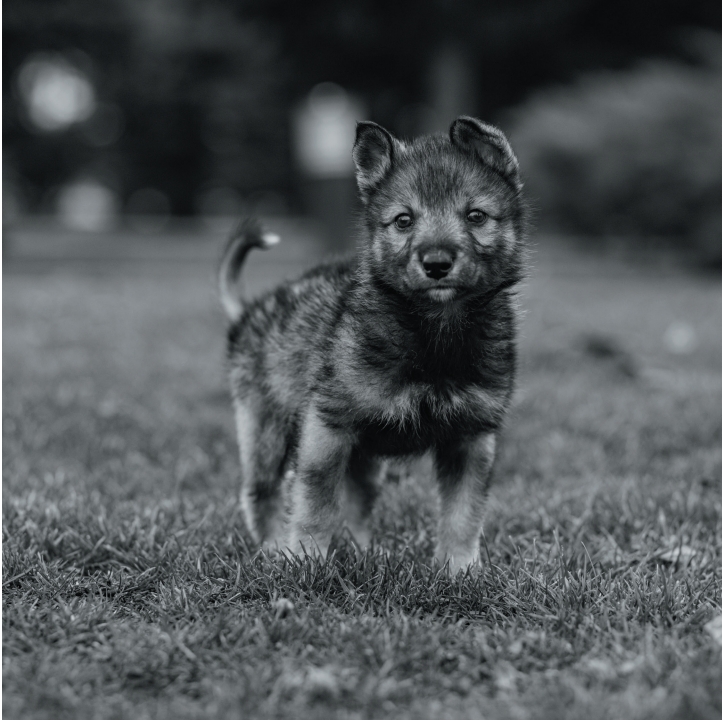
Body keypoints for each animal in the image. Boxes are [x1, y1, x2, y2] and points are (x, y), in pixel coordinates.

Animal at [218, 115, 528, 572]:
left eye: (476, 216)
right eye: (403, 221)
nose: (437, 264)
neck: (433, 333)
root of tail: (249, 310)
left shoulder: (472, 436)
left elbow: (463, 512)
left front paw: (460, 571)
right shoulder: (327, 426)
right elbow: (316, 504)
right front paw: (306, 562)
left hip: (362, 455)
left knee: (358, 502)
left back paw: (365, 554)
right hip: (265, 430)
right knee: (262, 493)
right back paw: (274, 551)